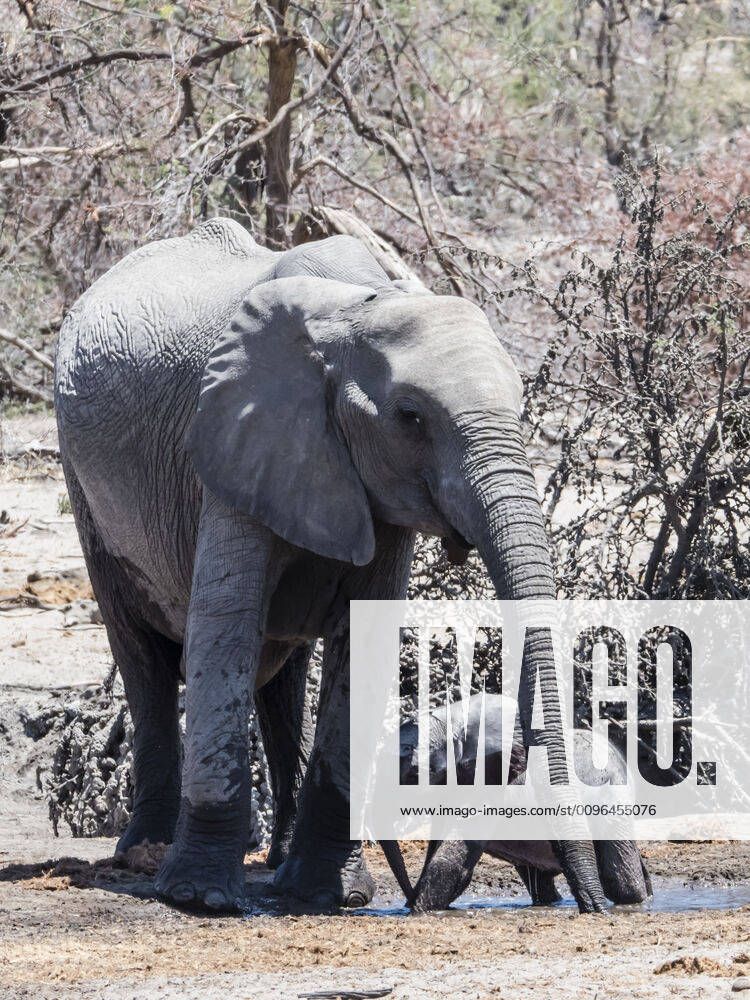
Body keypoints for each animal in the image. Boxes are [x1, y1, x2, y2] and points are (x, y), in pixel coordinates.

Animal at [55, 217, 610, 913]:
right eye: (410, 417)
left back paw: (278, 862)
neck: (358, 311)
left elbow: (364, 637)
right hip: (83, 485)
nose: (593, 907)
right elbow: (224, 626)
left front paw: (331, 895)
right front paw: (200, 897)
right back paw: (146, 856)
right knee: (144, 656)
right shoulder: (236, 434)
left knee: (279, 674)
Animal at [393, 694, 652, 911]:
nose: (407, 900)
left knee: (621, 883)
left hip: (612, 794)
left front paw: (417, 911)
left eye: (413, 775)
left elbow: (453, 856)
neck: (451, 720)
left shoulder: (489, 779)